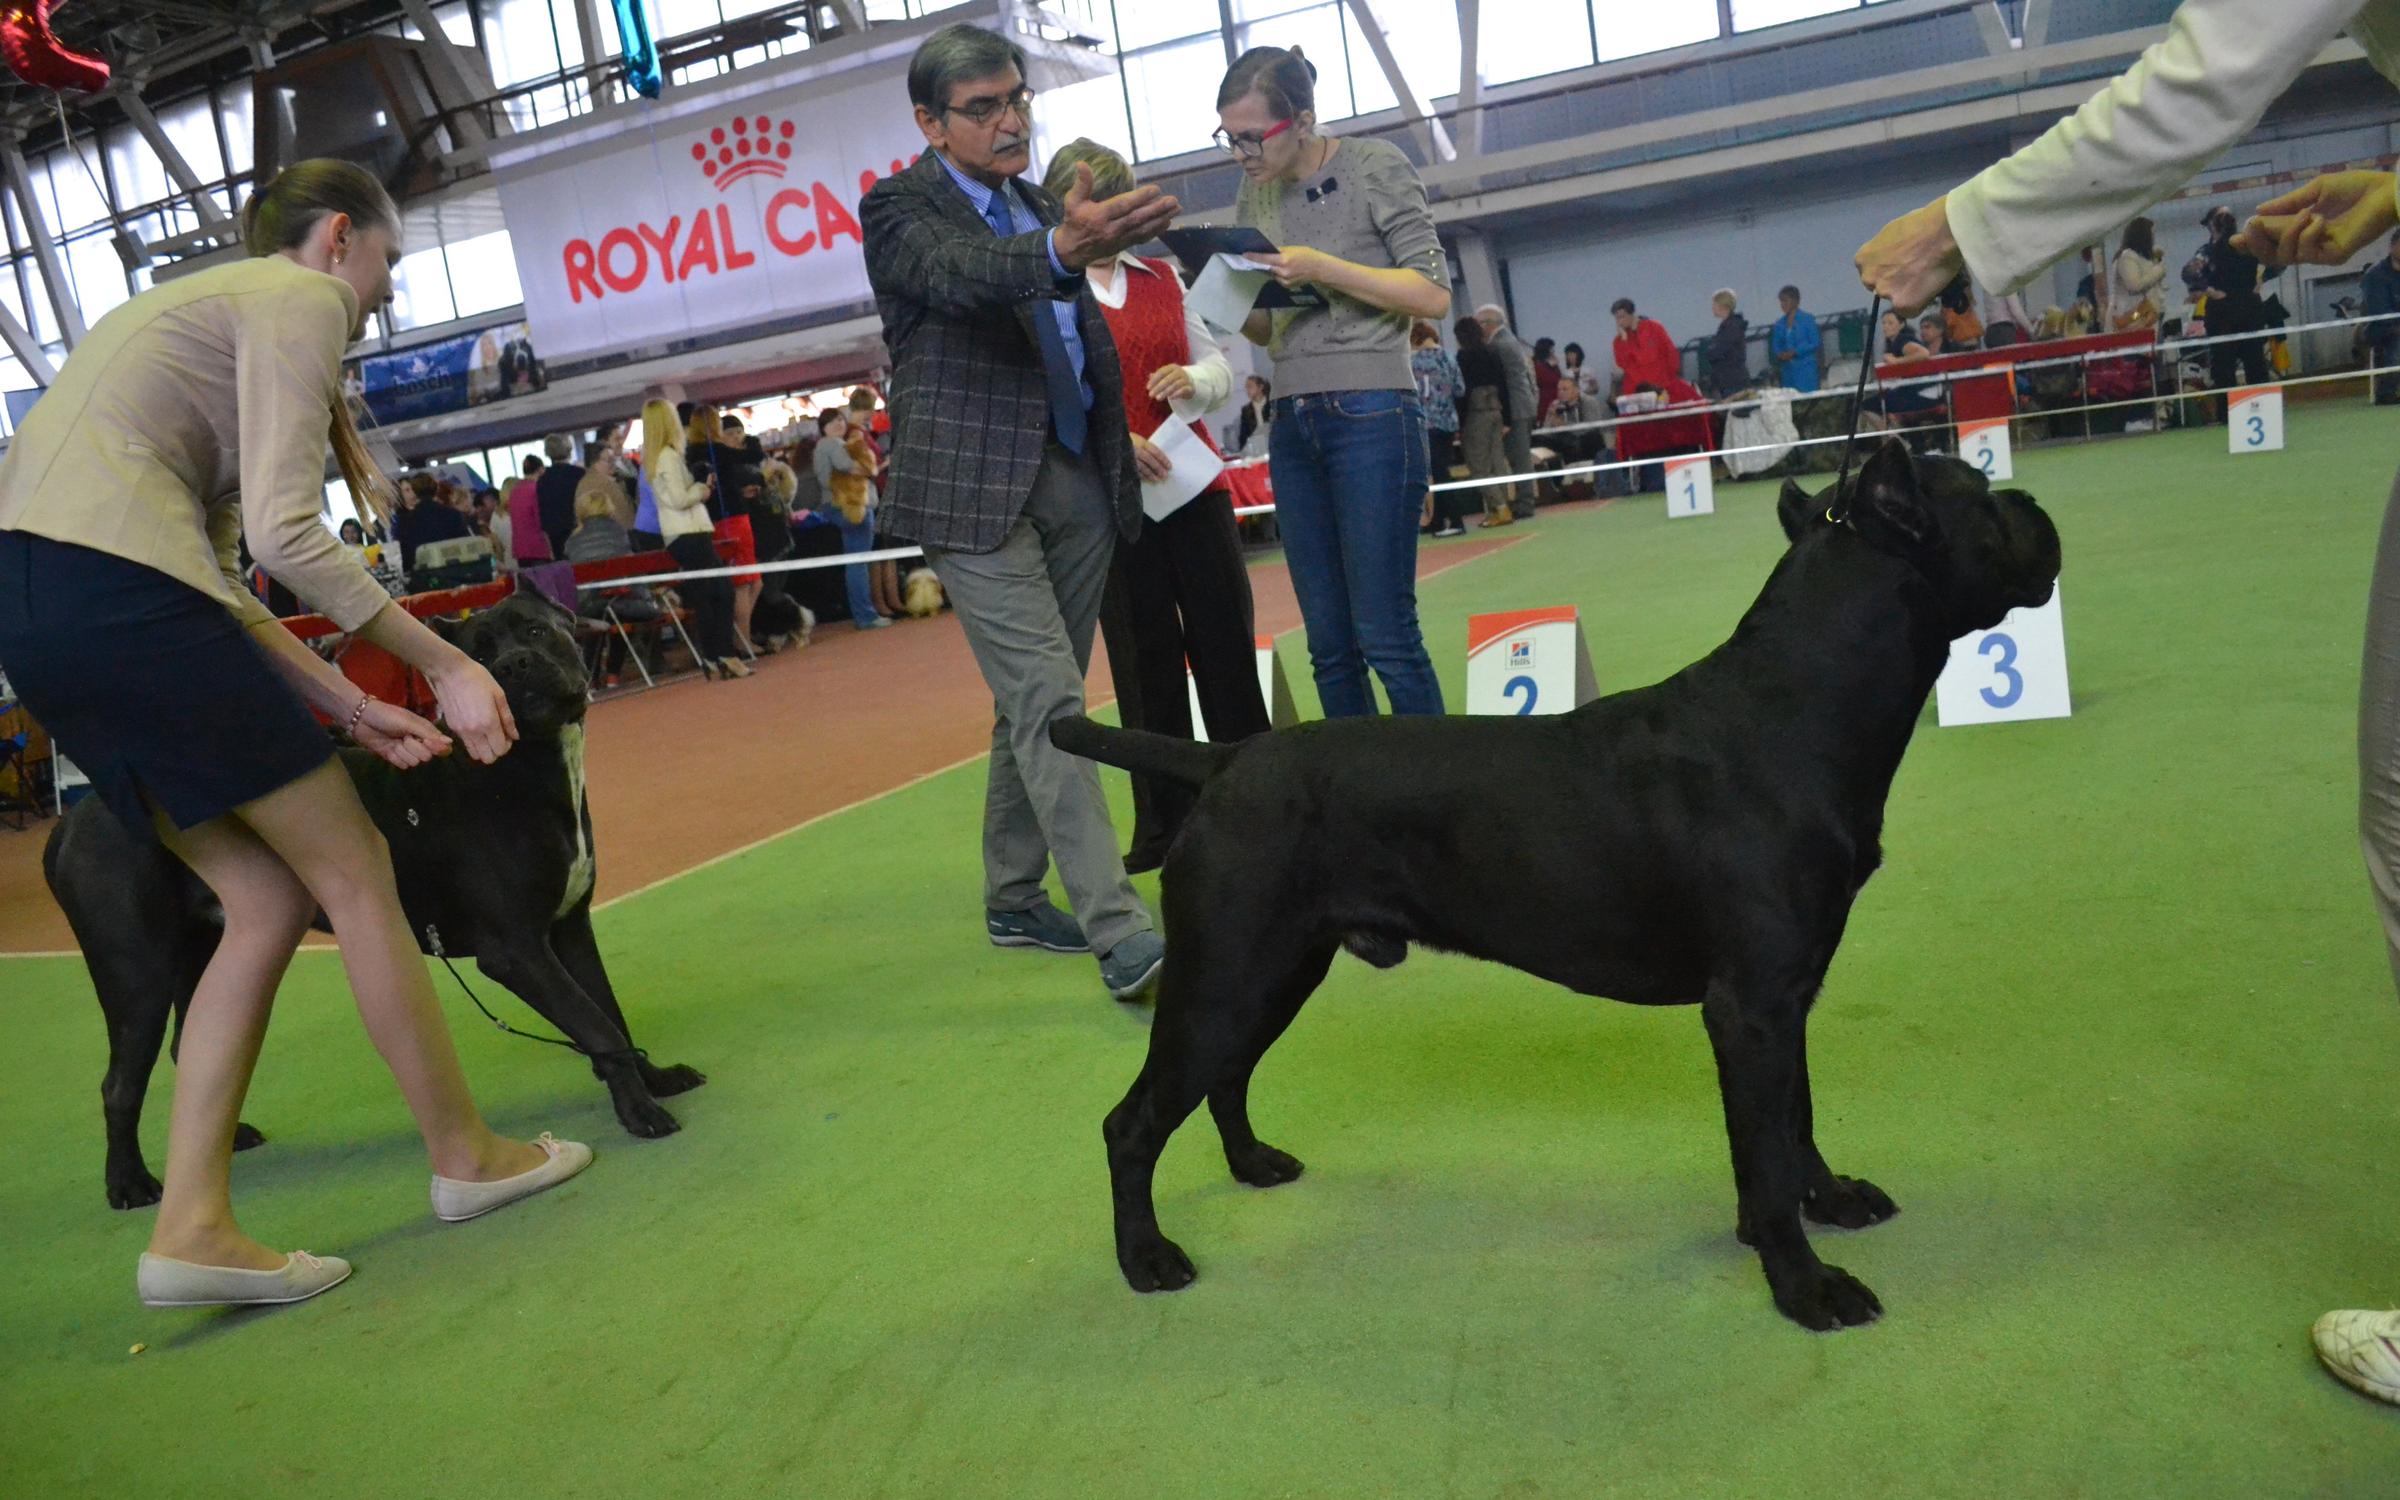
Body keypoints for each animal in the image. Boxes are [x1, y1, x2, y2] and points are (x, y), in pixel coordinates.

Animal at [46, 585, 700, 1204]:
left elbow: (605, 1008)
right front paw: (639, 1110)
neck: (523, 769)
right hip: (137, 973)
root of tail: (72, 821)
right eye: (478, 655)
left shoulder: (569, 927)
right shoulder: (516, 950)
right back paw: (130, 1183)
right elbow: (593, 1021)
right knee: (119, 1084)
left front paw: (654, 1079)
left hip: (204, 947)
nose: (513, 665)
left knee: (192, 1047)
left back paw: (226, 1140)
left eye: (536, 631)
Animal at [1051, 439, 2064, 1324]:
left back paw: (1253, 1163)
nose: (2033, 502)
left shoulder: (1789, 995)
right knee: (1132, 1123)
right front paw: (1803, 1286)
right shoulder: (1752, 1008)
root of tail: (1222, 760)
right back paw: (1146, 1257)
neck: (1797, 710)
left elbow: (1795, 1121)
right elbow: (1767, 1154)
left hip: (1273, 973)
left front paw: (1831, 1201)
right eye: (1982, 495)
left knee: (1223, 1079)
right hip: (1226, 974)